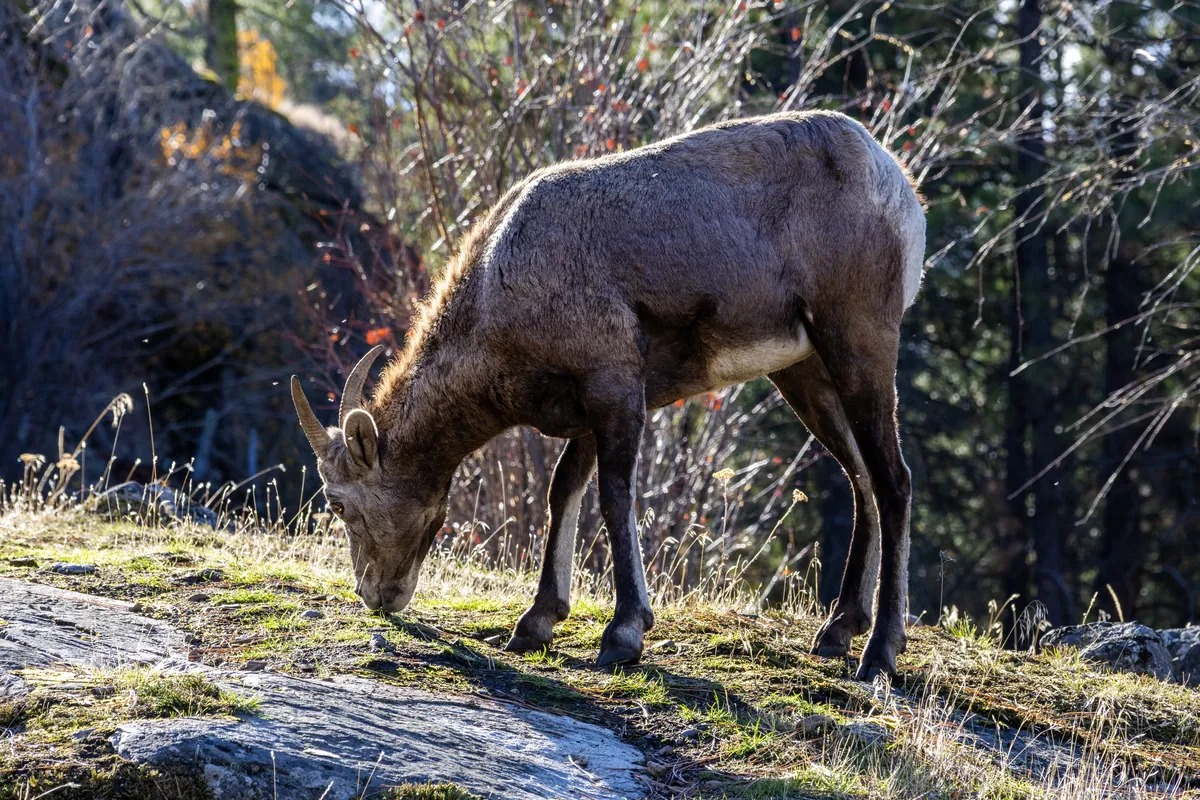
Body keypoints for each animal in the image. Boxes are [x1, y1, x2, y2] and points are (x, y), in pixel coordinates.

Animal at [291, 110, 927, 678]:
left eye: (338, 503)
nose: (376, 595)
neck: (504, 277)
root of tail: (896, 186)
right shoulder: (590, 413)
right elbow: (563, 491)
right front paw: (536, 623)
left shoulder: (615, 386)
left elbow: (614, 496)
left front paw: (623, 635)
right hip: (804, 372)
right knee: (861, 479)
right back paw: (838, 631)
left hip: (859, 343)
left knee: (894, 480)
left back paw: (879, 655)